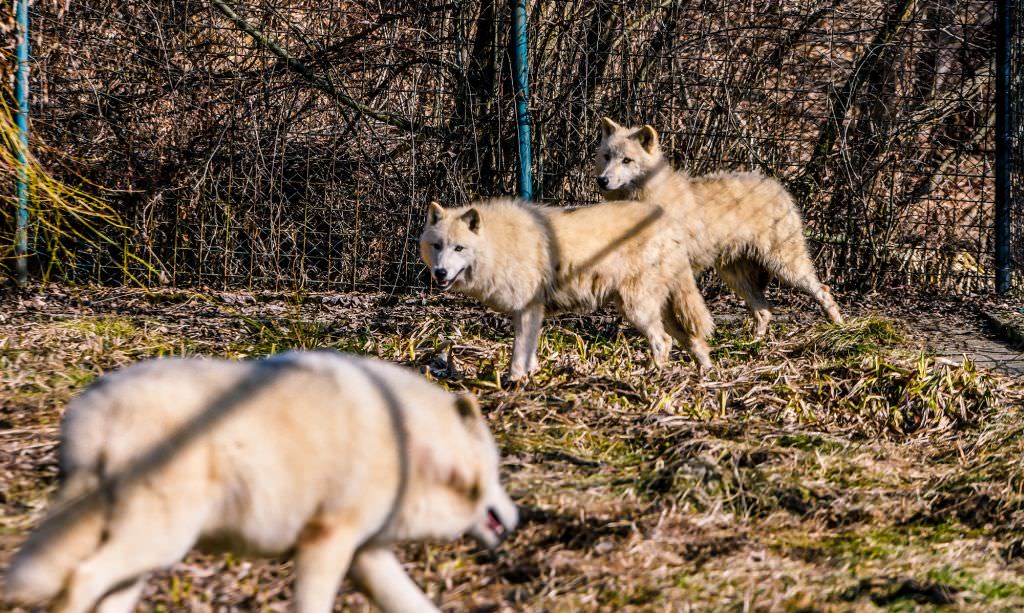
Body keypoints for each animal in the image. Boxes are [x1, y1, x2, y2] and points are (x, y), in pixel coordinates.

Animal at [6, 349, 520, 613]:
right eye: (498, 474)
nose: (517, 517)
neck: (411, 444)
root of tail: (93, 416)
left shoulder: (365, 555)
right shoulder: (326, 544)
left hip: (142, 560)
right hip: (162, 541)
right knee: (78, 579)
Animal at [419, 197, 716, 378]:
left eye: (459, 248)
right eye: (437, 246)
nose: (440, 273)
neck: (498, 243)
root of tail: (670, 223)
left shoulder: (528, 309)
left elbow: (518, 352)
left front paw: (513, 380)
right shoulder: (530, 313)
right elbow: (529, 351)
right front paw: (530, 377)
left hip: (636, 309)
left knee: (663, 341)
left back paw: (649, 376)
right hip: (660, 310)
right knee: (693, 340)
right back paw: (706, 376)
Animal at [593, 117, 839, 337]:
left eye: (626, 160)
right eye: (607, 157)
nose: (602, 180)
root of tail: (777, 186)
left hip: (785, 267)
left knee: (823, 291)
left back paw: (839, 327)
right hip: (734, 276)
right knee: (765, 310)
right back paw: (753, 345)